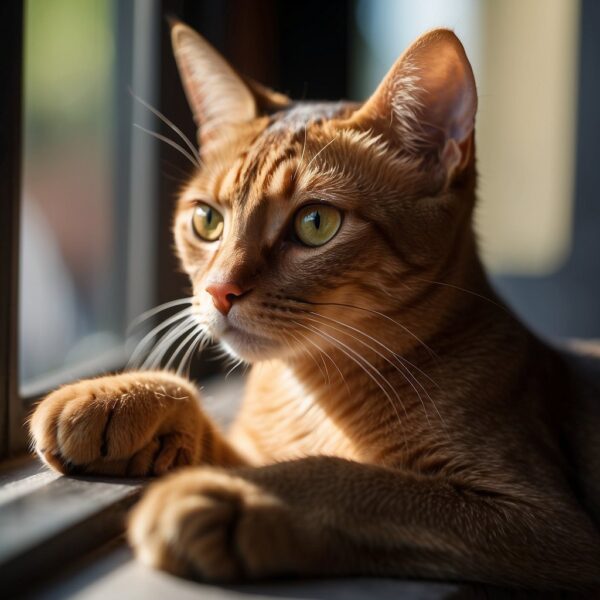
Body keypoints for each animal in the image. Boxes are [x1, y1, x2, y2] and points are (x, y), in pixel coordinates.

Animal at [29, 21, 600, 592]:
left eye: (316, 223)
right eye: (207, 220)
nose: (219, 290)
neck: (311, 394)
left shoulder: (542, 519)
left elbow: (346, 478)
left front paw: (237, 496)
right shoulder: (252, 446)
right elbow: (221, 436)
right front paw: (117, 397)